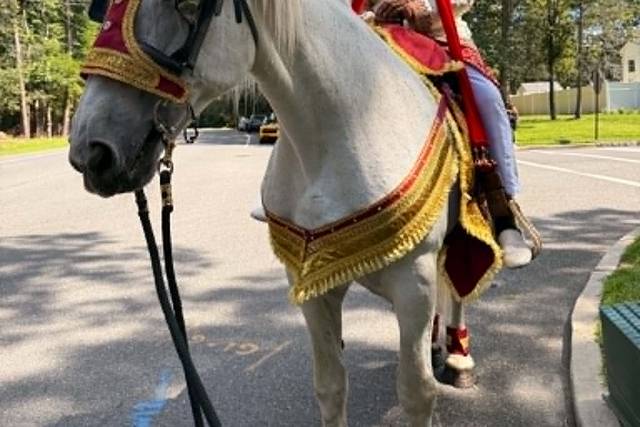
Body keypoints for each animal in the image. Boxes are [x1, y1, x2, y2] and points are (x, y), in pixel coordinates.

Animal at [69, 0, 494, 425]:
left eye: (186, 6)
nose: (90, 151)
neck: (341, 134)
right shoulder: (311, 281)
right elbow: (331, 386)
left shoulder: (413, 283)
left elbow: (416, 392)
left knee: (457, 287)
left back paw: (457, 358)